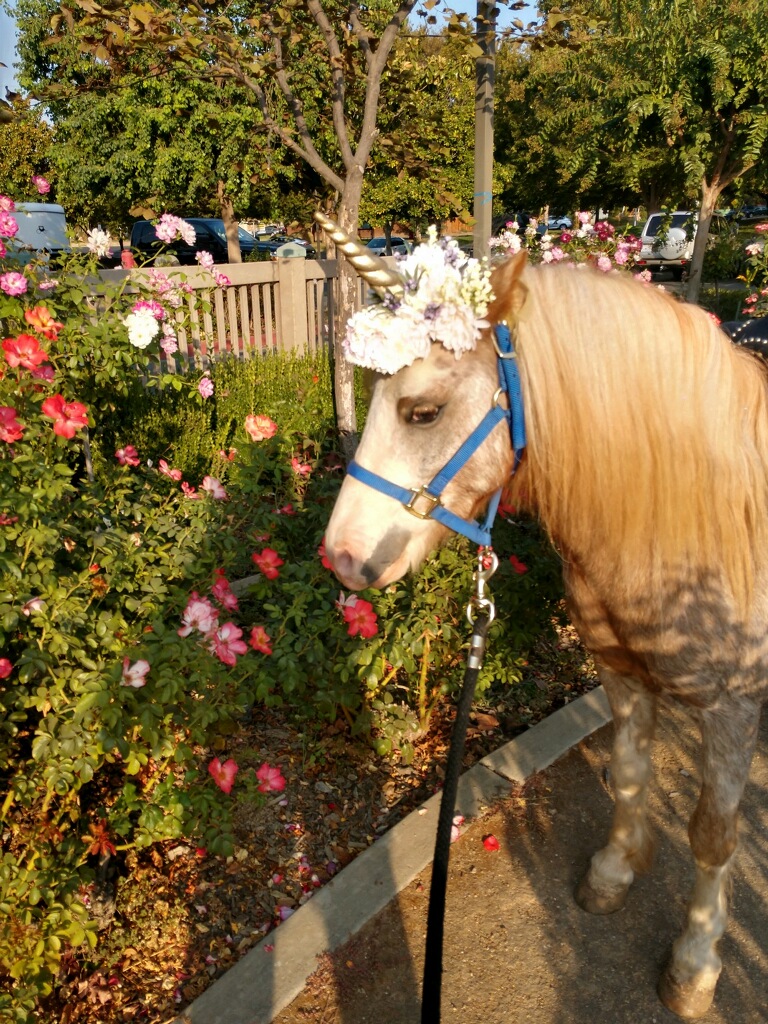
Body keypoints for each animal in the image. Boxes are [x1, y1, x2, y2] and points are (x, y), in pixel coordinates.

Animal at [321, 229, 768, 1020]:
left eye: (422, 412)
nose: (339, 555)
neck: (698, 524)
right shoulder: (621, 672)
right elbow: (629, 774)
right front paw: (616, 871)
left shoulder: (733, 710)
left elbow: (713, 838)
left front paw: (695, 963)